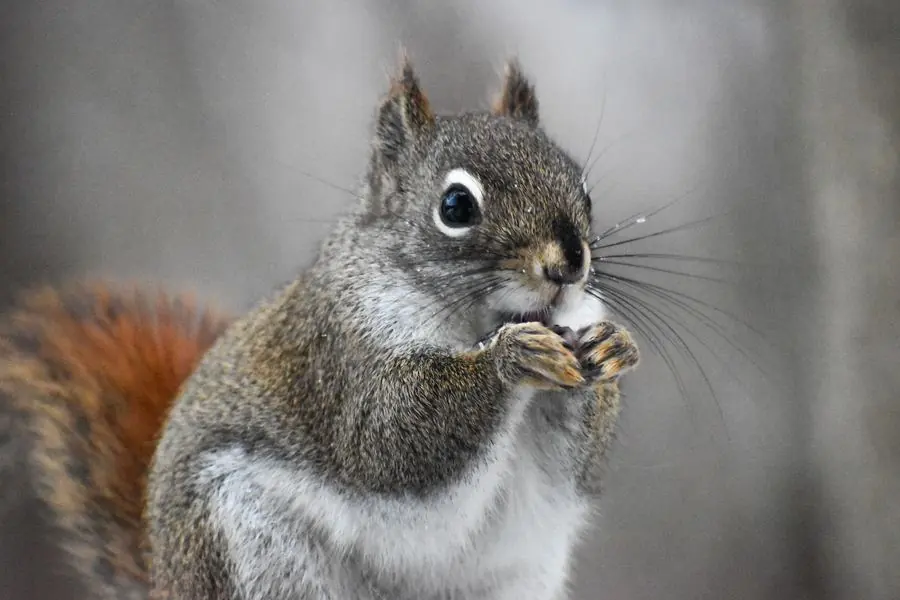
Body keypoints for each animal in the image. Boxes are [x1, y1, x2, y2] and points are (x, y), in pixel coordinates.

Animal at [1, 56, 639, 599]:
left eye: (582, 186)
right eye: (456, 206)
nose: (569, 263)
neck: (479, 317)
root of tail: (168, 581)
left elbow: (576, 464)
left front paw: (609, 348)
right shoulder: (342, 353)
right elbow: (387, 438)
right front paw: (509, 358)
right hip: (251, 542)